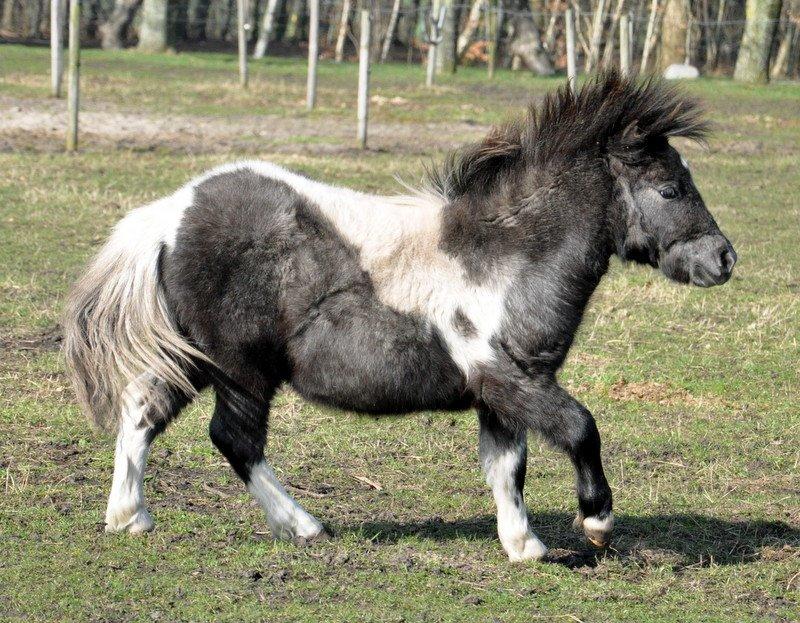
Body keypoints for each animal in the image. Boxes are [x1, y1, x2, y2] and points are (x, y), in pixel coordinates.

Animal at [65, 70, 736, 564]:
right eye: (670, 188)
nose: (724, 258)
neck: (505, 257)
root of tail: (168, 214)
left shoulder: (499, 395)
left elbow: (507, 466)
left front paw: (523, 546)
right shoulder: (511, 377)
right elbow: (579, 428)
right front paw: (596, 522)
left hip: (198, 358)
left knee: (142, 409)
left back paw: (129, 517)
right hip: (242, 371)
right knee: (234, 438)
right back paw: (303, 526)